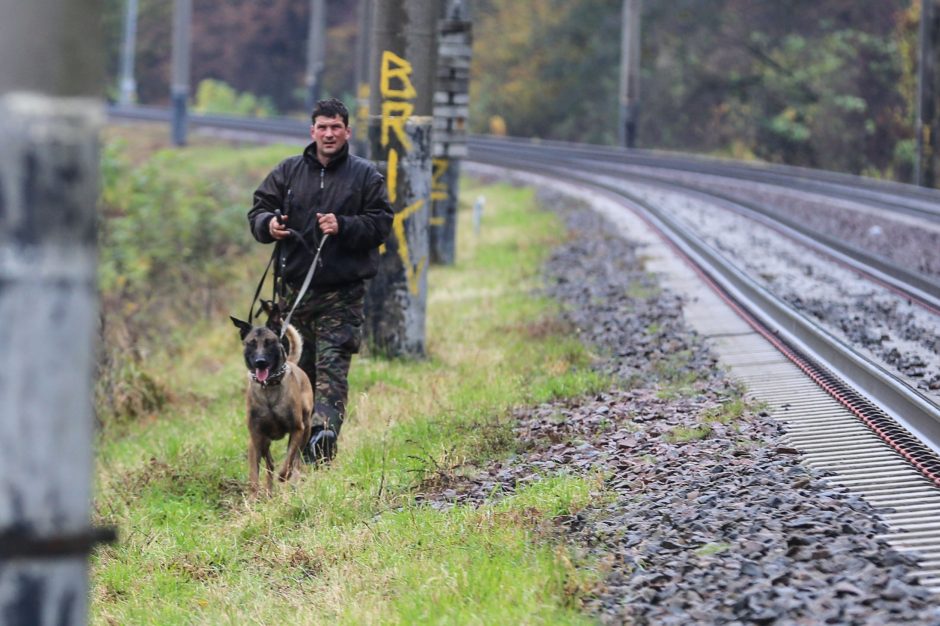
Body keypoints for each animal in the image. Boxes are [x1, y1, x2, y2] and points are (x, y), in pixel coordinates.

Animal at [232, 304, 314, 494]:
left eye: (269, 342)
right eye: (251, 343)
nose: (260, 362)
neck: (268, 386)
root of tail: (292, 363)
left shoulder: (297, 429)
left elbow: (290, 458)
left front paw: (284, 476)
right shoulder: (256, 436)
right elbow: (254, 474)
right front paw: (254, 496)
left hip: (307, 426)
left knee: (296, 459)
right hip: (262, 441)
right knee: (269, 463)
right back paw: (269, 491)